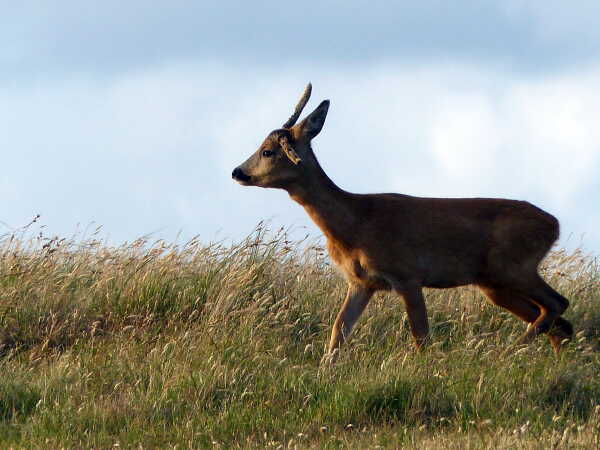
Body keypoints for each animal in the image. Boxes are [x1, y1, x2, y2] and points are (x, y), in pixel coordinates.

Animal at [230, 83, 572, 358]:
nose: (237, 172)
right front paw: (325, 370)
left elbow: (420, 336)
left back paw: (511, 352)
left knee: (557, 305)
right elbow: (338, 331)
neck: (355, 223)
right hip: (493, 282)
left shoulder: (408, 274)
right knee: (558, 321)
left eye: (268, 151)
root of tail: (554, 224)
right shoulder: (362, 282)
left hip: (513, 266)